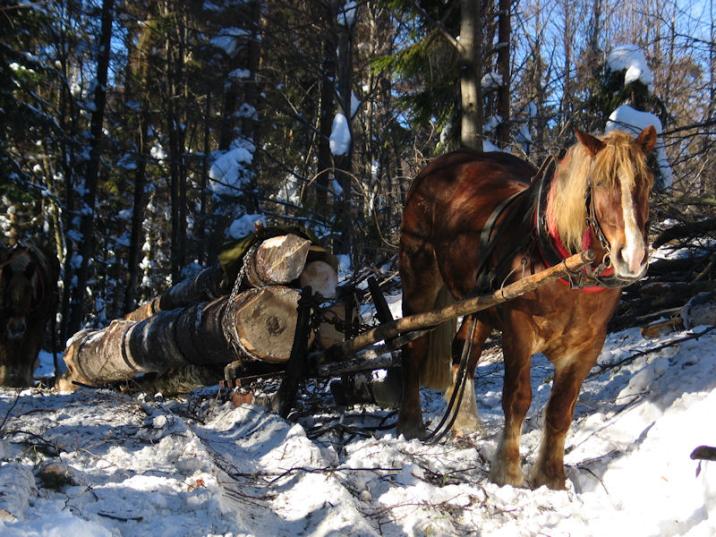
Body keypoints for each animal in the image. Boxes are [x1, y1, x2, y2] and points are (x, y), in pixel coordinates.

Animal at [0, 243, 59, 386]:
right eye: (7, 293)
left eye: (30, 291)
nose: (17, 329)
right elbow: (5, 352)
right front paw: (4, 380)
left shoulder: (36, 322)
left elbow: (28, 350)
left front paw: (23, 380)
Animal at [400, 127, 656, 488]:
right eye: (600, 183)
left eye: (646, 182)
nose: (632, 257)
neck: (561, 264)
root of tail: (439, 164)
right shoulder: (518, 332)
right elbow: (517, 398)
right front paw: (507, 472)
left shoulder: (588, 345)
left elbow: (561, 409)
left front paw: (551, 477)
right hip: (420, 282)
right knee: (414, 347)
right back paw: (410, 423)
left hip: (481, 304)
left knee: (465, 349)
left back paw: (464, 423)